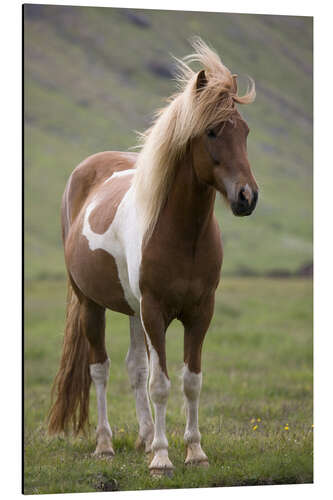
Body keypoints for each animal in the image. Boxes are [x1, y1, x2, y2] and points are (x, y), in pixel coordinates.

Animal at [48, 37, 258, 474]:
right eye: (212, 131)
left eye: (245, 131)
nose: (247, 197)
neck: (182, 235)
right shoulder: (156, 311)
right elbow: (160, 383)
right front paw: (162, 458)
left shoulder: (200, 312)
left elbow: (190, 380)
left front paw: (195, 451)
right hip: (93, 304)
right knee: (101, 369)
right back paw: (106, 444)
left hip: (132, 309)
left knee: (134, 366)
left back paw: (144, 437)